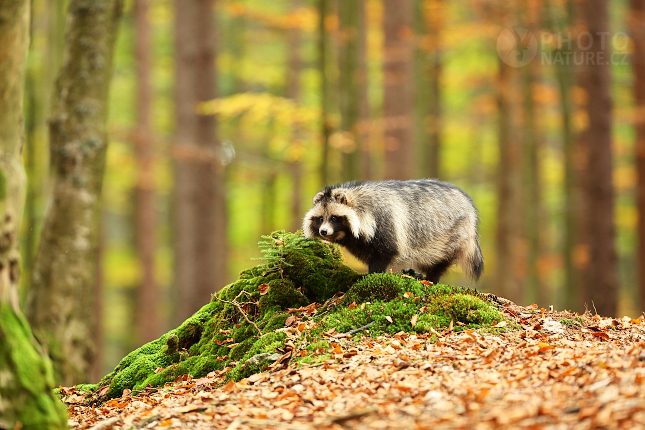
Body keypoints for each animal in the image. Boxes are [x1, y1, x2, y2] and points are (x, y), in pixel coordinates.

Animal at [304, 180, 484, 284]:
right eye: (320, 218)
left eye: (334, 217)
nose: (323, 232)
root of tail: (468, 203)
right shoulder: (361, 242)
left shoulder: (385, 222)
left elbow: (384, 253)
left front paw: (373, 275)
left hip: (451, 234)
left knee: (440, 261)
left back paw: (432, 278)